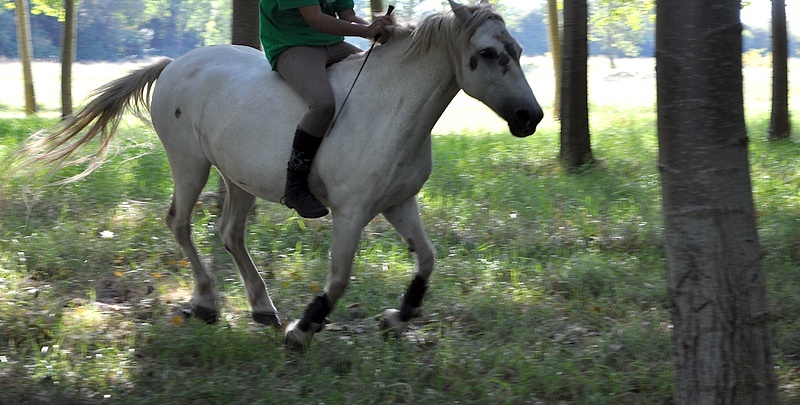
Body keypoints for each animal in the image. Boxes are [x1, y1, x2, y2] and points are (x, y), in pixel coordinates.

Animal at [20, 0, 544, 348]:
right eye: (490, 53)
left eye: (517, 50)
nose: (531, 117)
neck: (392, 108)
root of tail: (175, 64)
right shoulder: (351, 213)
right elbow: (339, 277)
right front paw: (304, 328)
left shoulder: (398, 203)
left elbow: (428, 260)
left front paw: (397, 316)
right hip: (190, 164)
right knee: (180, 223)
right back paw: (208, 302)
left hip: (239, 178)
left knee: (230, 233)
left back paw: (260, 307)